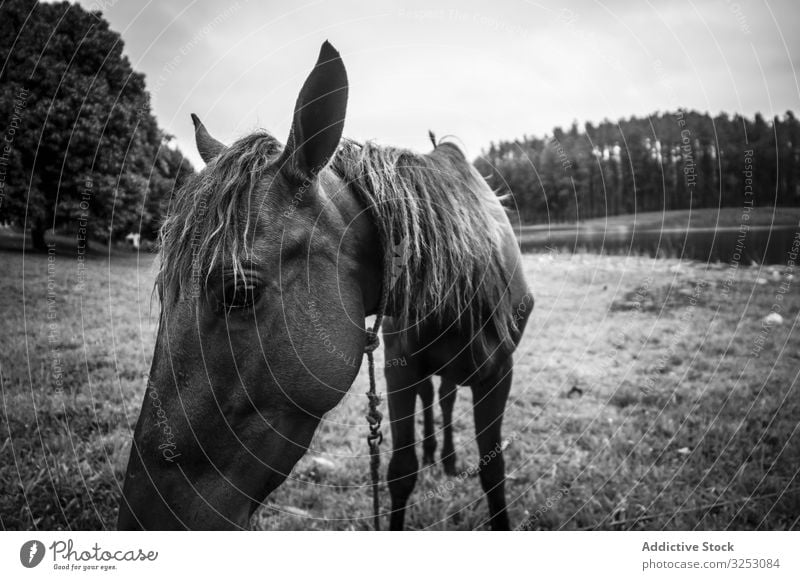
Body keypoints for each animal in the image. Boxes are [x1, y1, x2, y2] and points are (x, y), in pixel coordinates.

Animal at [119, 40, 532, 532]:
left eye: (238, 293)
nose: (142, 516)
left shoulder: (500, 375)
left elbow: (492, 472)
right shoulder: (399, 370)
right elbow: (402, 469)